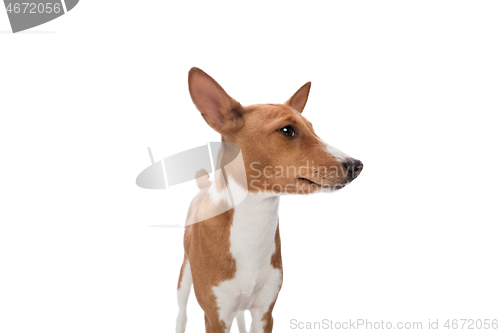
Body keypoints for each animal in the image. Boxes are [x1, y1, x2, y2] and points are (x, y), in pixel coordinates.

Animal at [176, 68, 364, 332]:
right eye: (287, 130)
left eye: (313, 128)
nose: (357, 165)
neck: (253, 226)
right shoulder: (215, 317)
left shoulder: (265, 312)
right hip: (184, 277)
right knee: (181, 315)